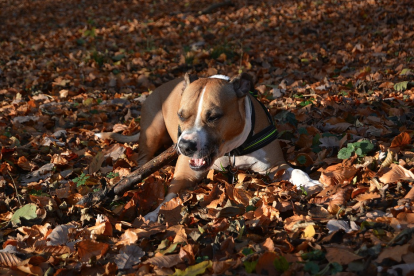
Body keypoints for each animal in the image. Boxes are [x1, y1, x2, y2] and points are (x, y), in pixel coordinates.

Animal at [98, 73, 324, 220]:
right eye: (181, 115)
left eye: (214, 117)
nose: (185, 146)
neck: (230, 151)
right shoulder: (184, 174)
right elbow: (169, 198)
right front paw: (154, 214)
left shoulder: (275, 166)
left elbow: (295, 171)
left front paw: (309, 182)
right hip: (152, 130)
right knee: (143, 158)